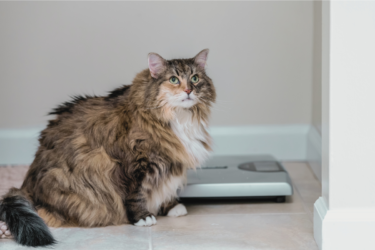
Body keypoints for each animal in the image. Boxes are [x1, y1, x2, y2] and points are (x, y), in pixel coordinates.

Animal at [0, 48, 217, 246]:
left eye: (195, 78)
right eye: (174, 80)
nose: (188, 90)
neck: (179, 117)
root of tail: (26, 185)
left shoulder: (170, 162)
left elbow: (166, 186)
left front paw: (172, 207)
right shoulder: (134, 165)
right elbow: (136, 195)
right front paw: (143, 218)